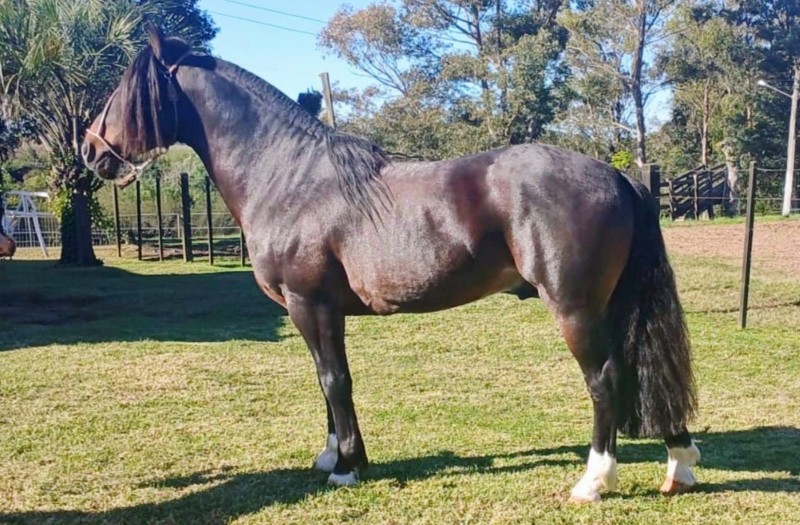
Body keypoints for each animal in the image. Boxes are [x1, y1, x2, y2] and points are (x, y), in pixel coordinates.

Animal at [82, 27, 700, 503]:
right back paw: (679, 464)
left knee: (606, 378)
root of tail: (617, 174)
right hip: (613, 305)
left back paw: (593, 482)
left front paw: (347, 467)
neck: (288, 177)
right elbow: (325, 383)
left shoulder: (310, 305)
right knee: (643, 369)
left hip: (575, 309)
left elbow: (334, 381)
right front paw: (331, 455)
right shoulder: (319, 312)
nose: (88, 150)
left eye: (124, 88)